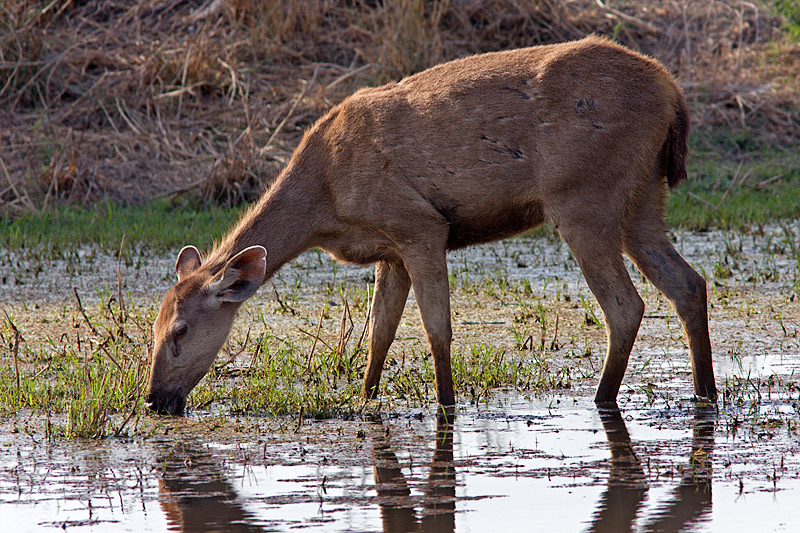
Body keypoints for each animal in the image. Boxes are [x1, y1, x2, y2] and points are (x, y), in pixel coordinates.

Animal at [144, 35, 720, 416]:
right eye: (152, 326)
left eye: (180, 330)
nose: (153, 398)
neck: (324, 203)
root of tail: (673, 94)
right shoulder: (390, 249)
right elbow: (379, 332)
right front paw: (365, 397)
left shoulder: (418, 225)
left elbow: (436, 328)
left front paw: (445, 407)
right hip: (642, 199)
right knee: (688, 284)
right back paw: (705, 392)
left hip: (583, 196)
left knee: (626, 305)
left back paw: (604, 401)